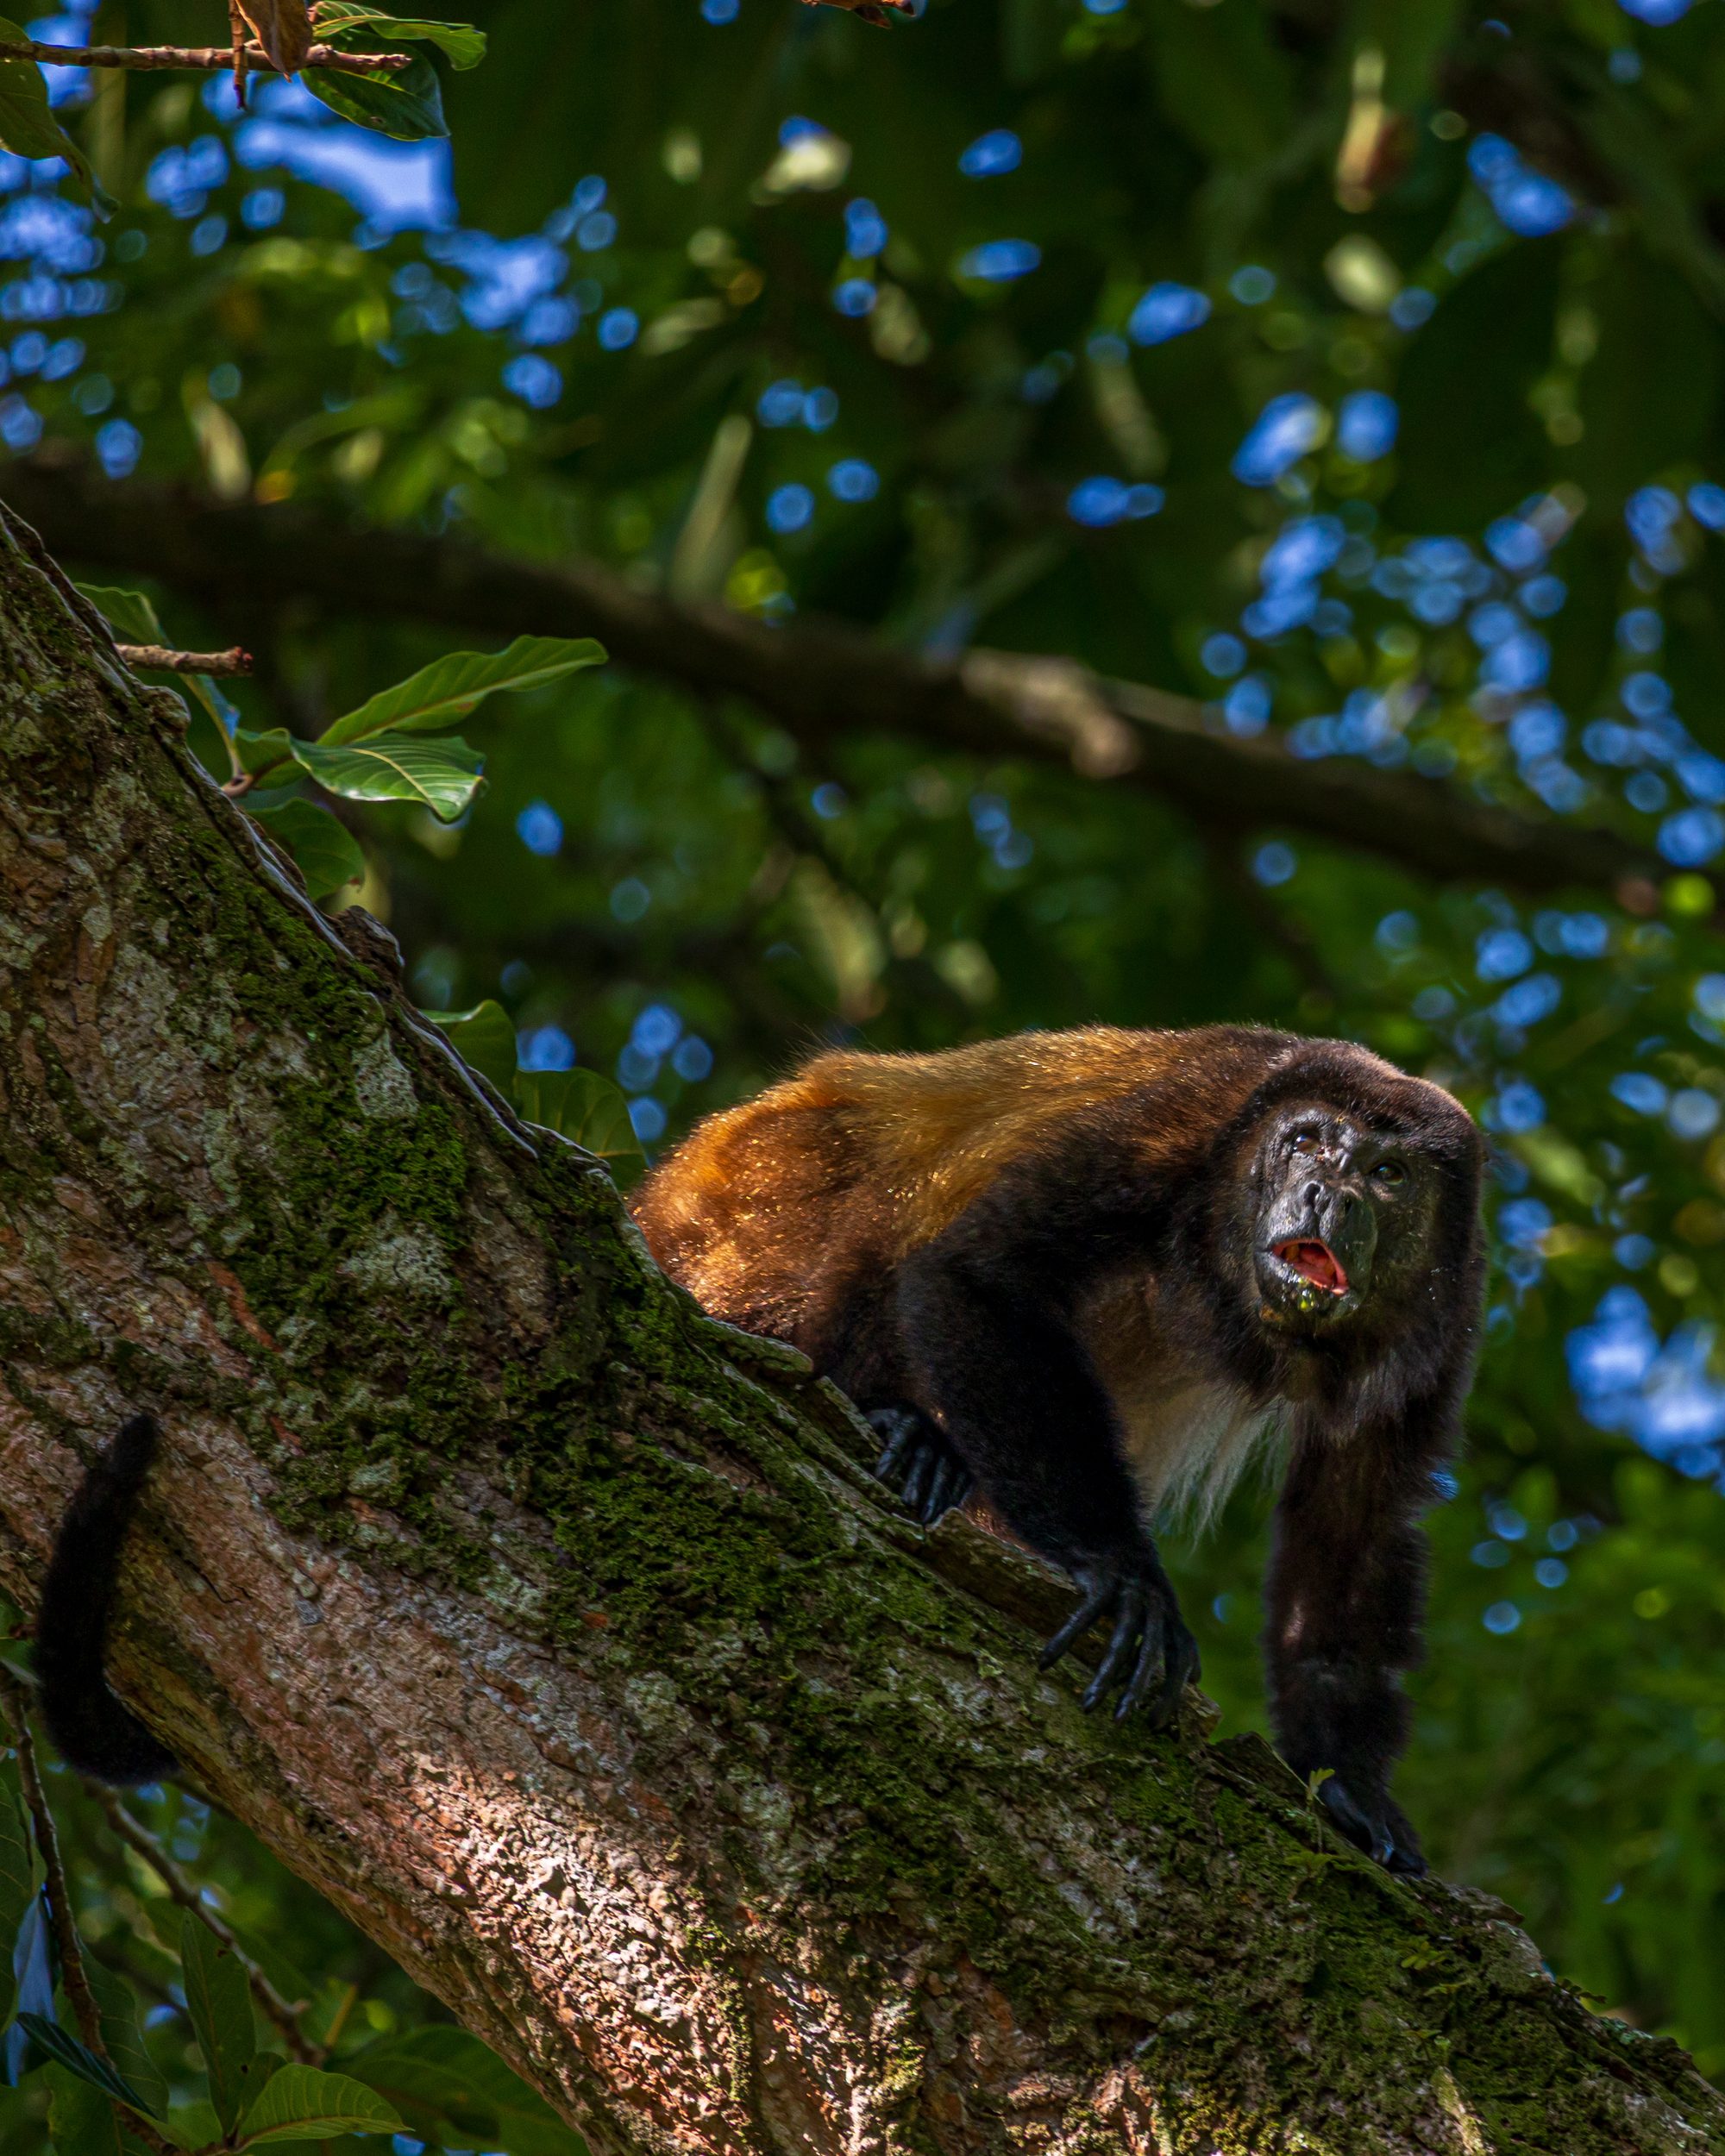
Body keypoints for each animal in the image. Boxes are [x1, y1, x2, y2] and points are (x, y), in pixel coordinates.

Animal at [632, 1024, 1485, 1875]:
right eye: (1307, 1142)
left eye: (1387, 1173)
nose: (1327, 1194)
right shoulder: (1176, 1132)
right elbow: (979, 1272)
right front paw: (1126, 1576)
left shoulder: (1449, 1311)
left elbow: (1356, 1523)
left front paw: (1347, 1781)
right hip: (753, 1182)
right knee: (887, 1198)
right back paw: (905, 1430)